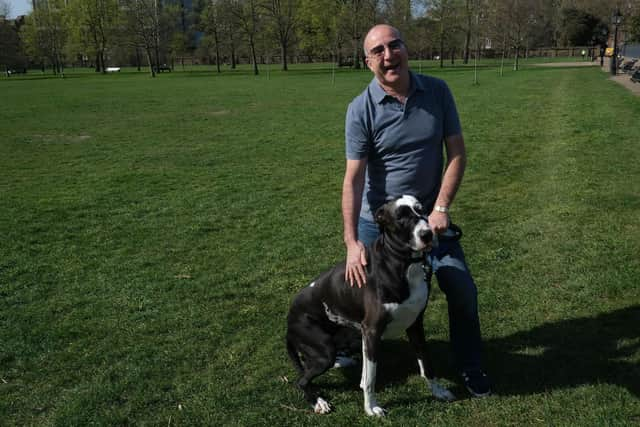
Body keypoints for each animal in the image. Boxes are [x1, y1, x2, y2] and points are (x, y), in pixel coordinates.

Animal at [284, 196, 456, 418]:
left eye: (421, 210)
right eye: (400, 217)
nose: (427, 234)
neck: (403, 264)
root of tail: (288, 322)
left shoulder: (415, 325)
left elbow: (427, 365)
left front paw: (438, 391)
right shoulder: (372, 332)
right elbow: (369, 379)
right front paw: (370, 407)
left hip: (351, 337)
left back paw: (343, 361)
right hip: (323, 350)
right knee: (302, 379)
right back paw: (318, 401)